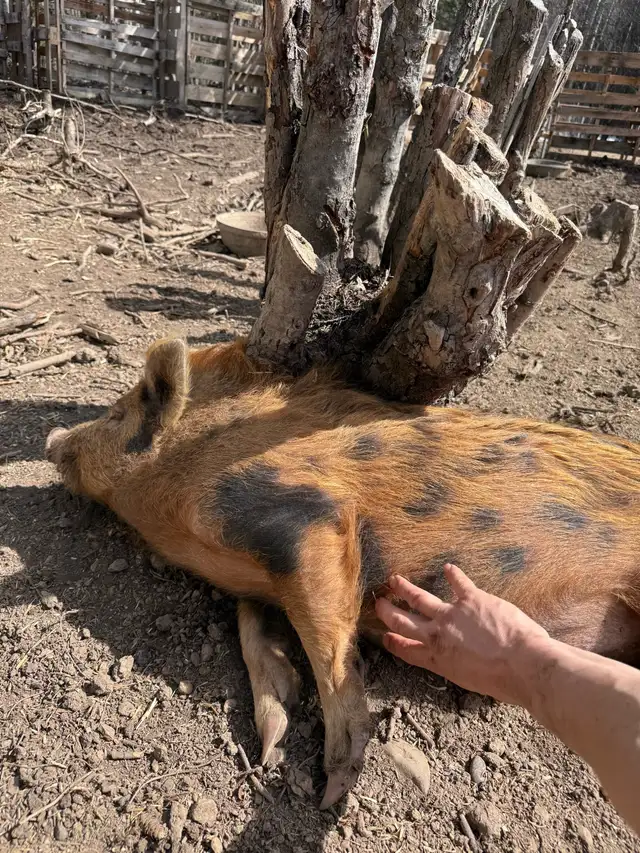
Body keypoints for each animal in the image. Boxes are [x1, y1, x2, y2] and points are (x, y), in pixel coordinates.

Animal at [45, 337, 640, 808]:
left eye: (118, 414)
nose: (52, 438)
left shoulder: (306, 516)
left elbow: (327, 637)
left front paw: (332, 790)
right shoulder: (257, 579)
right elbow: (252, 626)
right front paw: (271, 740)